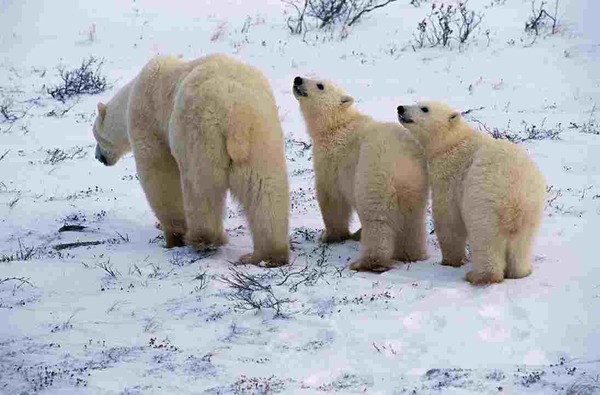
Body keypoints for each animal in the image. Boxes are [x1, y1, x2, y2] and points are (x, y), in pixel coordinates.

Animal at [91, 55, 290, 266]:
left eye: (96, 135)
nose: (98, 157)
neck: (131, 94)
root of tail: (234, 110)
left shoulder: (148, 121)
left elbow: (159, 175)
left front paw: (173, 237)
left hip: (200, 130)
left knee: (200, 185)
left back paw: (204, 239)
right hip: (261, 131)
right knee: (264, 187)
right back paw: (266, 255)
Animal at [292, 76, 428, 274]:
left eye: (320, 85)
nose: (298, 79)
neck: (336, 125)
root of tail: (403, 162)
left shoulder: (331, 160)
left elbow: (332, 198)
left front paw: (331, 236)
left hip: (374, 173)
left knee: (376, 219)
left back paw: (370, 263)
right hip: (415, 184)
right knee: (413, 219)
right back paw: (411, 255)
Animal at [396, 101, 548, 284]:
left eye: (424, 108)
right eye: (416, 102)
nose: (400, 108)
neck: (452, 142)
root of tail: (515, 197)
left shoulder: (450, 174)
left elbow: (448, 218)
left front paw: (449, 261)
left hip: (483, 202)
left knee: (485, 239)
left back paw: (479, 276)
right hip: (531, 210)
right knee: (522, 244)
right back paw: (520, 272)